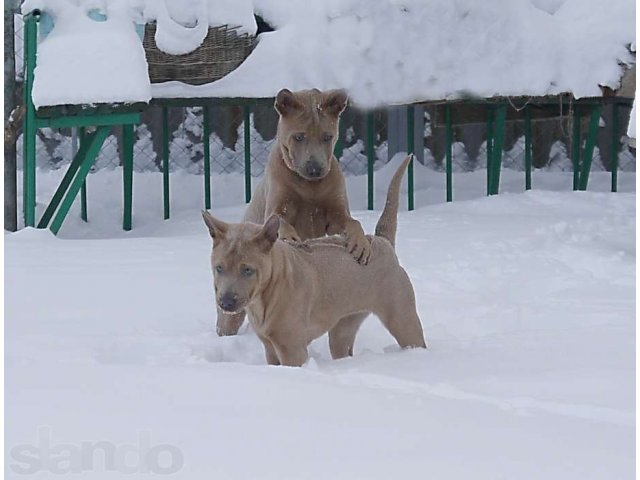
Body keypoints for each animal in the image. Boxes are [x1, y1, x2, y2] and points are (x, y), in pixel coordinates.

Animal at [202, 156, 428, 366]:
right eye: (219, 268)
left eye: (248, 270)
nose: (226, 303)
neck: (266, 293)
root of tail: (382, 241)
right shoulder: (270, 349)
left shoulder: (292, 349)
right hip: (343, 326)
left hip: (403, 319)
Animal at [218, 88, 370, 336]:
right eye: (299, 136)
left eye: (327, 137)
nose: (315, 169)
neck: (309, 186)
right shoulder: (277, 205)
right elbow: (281, 221)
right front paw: (291, 238)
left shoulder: (336, 212)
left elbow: (352, 222)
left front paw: (360, 244)